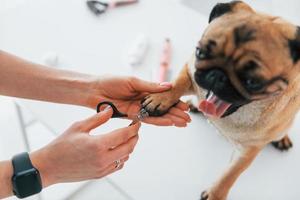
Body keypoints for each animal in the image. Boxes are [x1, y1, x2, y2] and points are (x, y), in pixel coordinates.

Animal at [141, 0, 300, 199]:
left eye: (253, 82)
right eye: (200, 52)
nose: (218, 76)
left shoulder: (247, 151)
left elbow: (229, 175)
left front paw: (215, 194)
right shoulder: (190, 68)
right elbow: (177, 83)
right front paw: (161, 98)